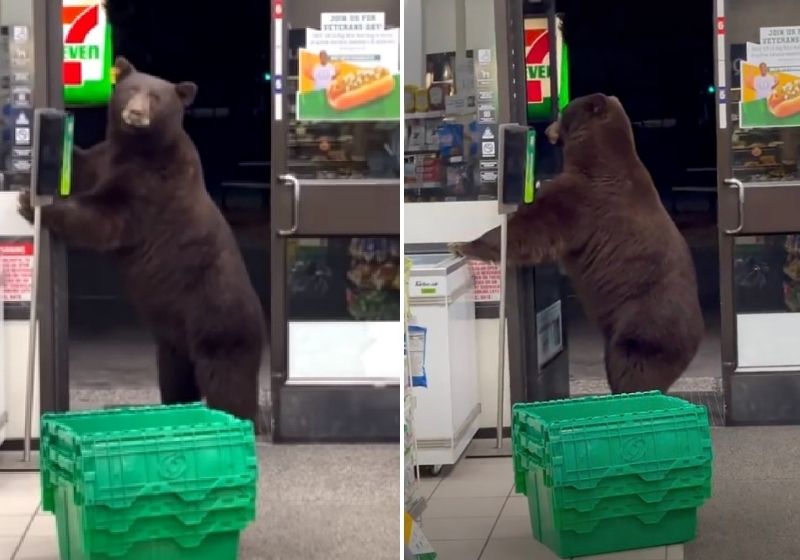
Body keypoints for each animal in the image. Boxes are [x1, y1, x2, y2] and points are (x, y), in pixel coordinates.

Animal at [18, 57, 265, 422]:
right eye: (132, 89)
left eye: (156, 97)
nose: (135, 112)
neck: (138, 148)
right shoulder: (105, 158)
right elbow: (82, 164)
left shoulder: (152, 187)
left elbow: (106, 218)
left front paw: (33, 204)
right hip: (173, 344)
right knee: (176, 379)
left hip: (220, 324)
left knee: (228, 383)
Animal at [451, 93, 703, 394]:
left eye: (563, 111)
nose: (547, 129)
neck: (595, 156)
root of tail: (695, 339)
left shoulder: (584, 202)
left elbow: (533, 228)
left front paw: (463, 243)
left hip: (642, 327)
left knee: (631, 371)